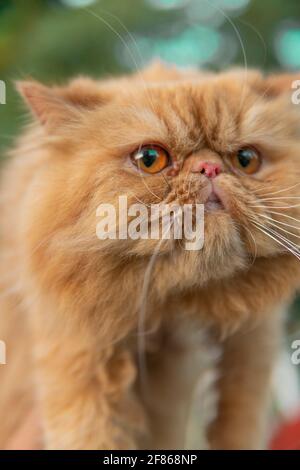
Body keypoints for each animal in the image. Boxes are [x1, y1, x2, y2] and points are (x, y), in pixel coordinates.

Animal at [0, 61, 300, 448]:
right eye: (150, 159)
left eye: (246, 160)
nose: (210, 168)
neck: (181, 301)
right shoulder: (75, 353)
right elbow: (90, 433)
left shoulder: (255, 338)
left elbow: (239, 420)